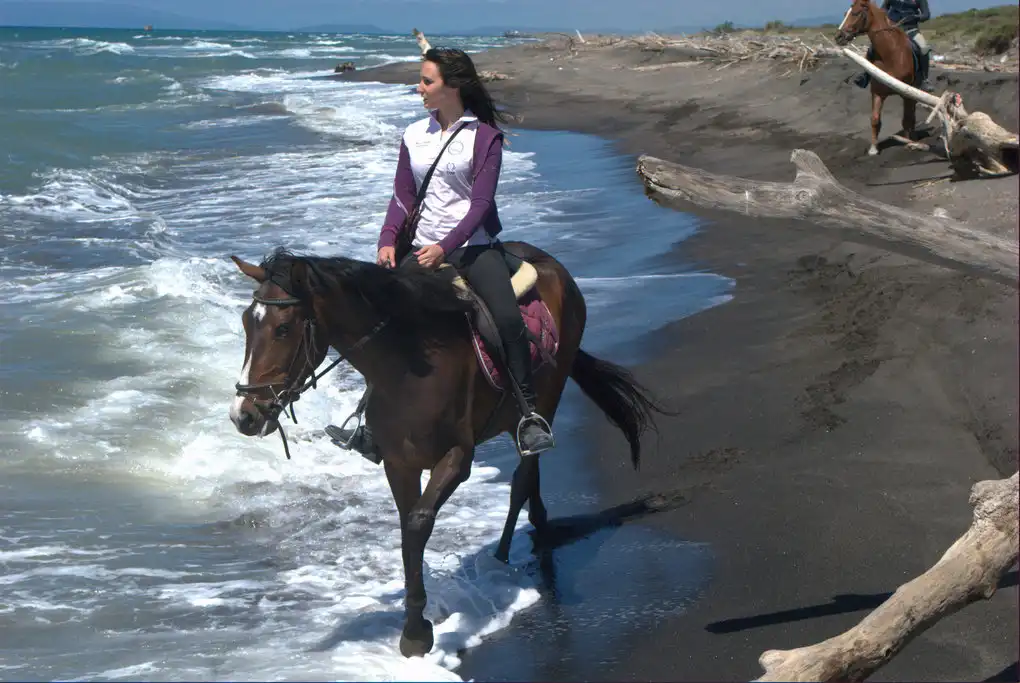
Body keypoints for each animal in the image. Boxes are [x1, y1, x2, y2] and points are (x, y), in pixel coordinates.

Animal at [228, 242, 670, 657]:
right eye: (247, 323)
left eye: (283, 329)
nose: (243, 415)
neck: (406, 366)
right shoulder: (398, 463)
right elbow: (407, 529)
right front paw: (415, 622)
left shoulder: (458, 458)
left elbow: (418, 524)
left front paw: (416, 633)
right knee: (530, 475)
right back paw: (535, 530)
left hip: (549, 393)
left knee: (522, 476)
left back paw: (500, 558)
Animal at [835, 0, 920, 156]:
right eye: (845, 13)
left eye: (856, 13)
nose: (838, 37)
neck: (890, 54)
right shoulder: (877, 92)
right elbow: (875, 119)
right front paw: (874, 148)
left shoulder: (906, 93)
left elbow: (907, 118)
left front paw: (907, 142)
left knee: (912, 114)